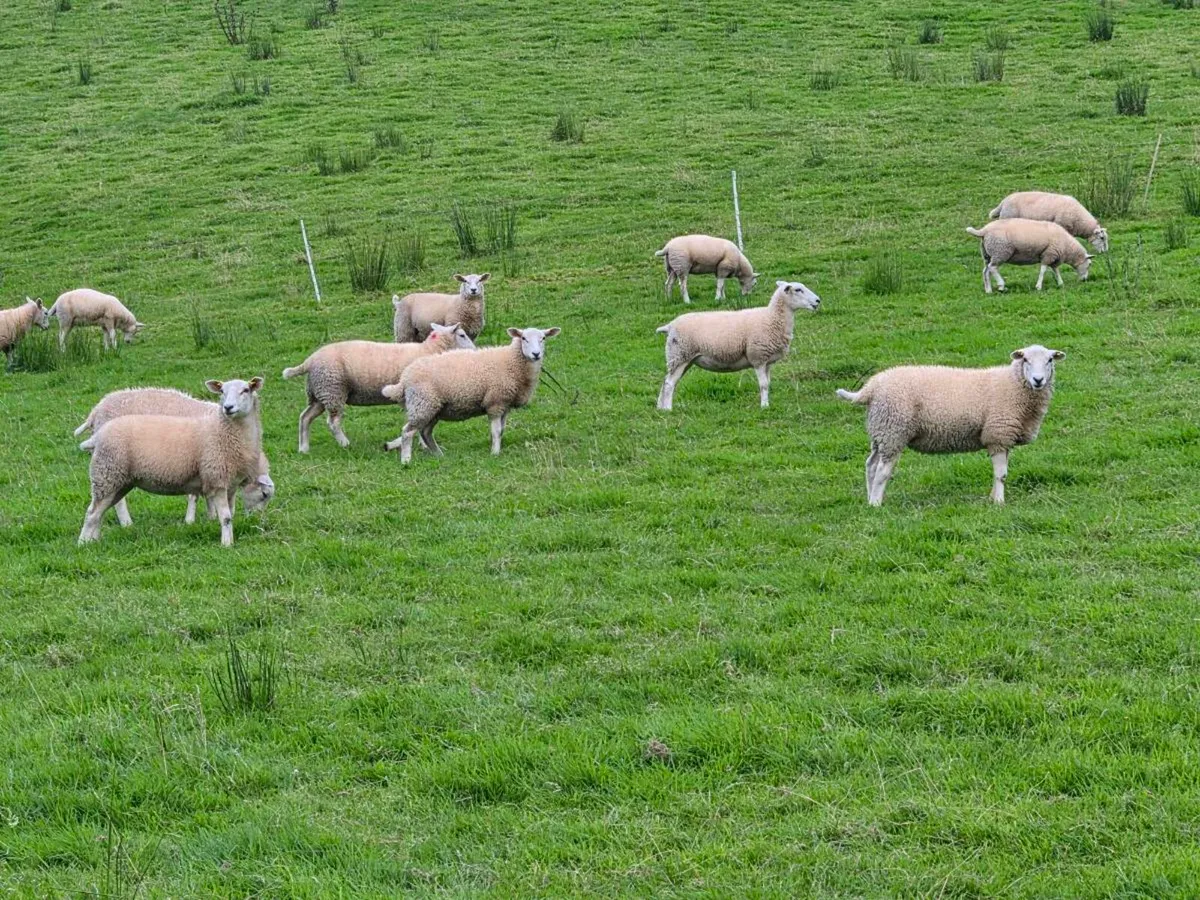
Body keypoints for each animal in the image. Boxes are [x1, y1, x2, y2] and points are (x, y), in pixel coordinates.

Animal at [78, 377, 265, 546]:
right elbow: (224, 516)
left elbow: (228, 513)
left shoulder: (229, 483)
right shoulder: (216, 477)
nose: (228, 407)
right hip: (107, 474)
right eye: (222, 391)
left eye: (246, 390)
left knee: (100, 512)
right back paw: (85, 544)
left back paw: (95, 540)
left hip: (120, 481)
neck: (222, 430)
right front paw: (225, 543)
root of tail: (96, 433)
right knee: (92, 512)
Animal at [282, 322, 475, 452]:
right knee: (333, 423)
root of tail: (310, 360)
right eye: (462, 335)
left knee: (305, 417)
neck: (428, 350)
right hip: (332, 389)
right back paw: (345, 444)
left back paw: (304, 448)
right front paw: (420, 444)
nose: (475, 350)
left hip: (320, 393)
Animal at [381, 326, 560, 464]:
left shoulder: (505, 404)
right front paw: (495, 453)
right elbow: (496, 431)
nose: (536, 354)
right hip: (422, 404)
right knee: (407, 432)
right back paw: (406, 460)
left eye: (543, 338)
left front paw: (497, 448)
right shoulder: (495, 402)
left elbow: (502, 430)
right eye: (524, 338)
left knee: (425, 433)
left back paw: (439, 455)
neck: (512, 362)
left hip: (433, 408)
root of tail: (404, 379)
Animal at [655, 280, 821, 411]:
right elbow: (763, 385)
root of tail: (670, 325)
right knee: (669, 383)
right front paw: (764, 406)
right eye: (798, 290)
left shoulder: (767, 361)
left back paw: (660, 408)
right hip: (680, 355)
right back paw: (668, 409)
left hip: (682, 358)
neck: (771, 318)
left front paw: (767, 403)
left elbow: (768, 383)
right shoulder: (758, 357)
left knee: (666, 381)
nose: (818, 300)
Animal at [835, 345, 1065, 506]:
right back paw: (876, 503)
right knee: (883, 470)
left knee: (870, 465)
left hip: (880, 432)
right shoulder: (998, 434)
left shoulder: (1001, 439)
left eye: (1049, 360)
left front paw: (992, 498)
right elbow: (1002, 475)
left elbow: (1000, 474)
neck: (1014, 384)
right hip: (893, 430)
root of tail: (870, 387)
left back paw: (869, 499)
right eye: (1025, 359)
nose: (1038, 380)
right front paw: (1000, 503)